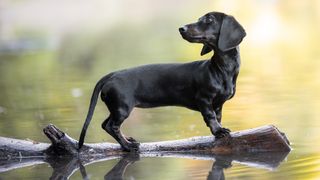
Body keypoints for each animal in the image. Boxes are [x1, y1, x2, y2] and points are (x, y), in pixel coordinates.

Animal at [77, 11, 245, 151]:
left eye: (209, 20)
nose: (181, 28)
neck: (221, 69)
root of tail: (111, 75)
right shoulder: (204, 100)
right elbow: (211, 117)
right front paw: (218, 130)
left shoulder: (218, 104)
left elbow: (218, 117)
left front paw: (218, 131)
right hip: (122, 108)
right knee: (111, 126)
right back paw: (127, 145)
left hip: (116, 108)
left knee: (106, 124)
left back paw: (127, 140)